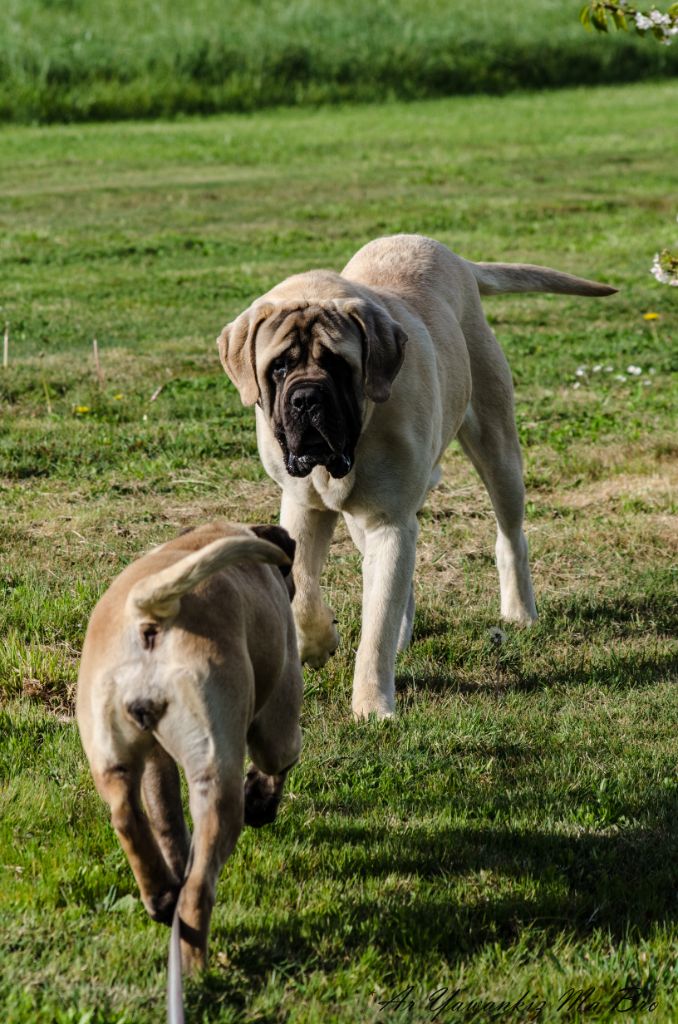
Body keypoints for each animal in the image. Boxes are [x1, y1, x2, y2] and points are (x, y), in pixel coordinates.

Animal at [75, 524, 303, 970]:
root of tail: (149, 616)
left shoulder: (156, 760)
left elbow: (166, 820)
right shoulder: (278, 722)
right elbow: (276, 766)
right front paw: (261, 802)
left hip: (113, 756)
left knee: (129, 817)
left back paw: (163, 895)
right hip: (217, 777)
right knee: (199, 889)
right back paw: (196, 965)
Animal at [216, 235, 614, 724]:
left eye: (338, 365)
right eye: (279, 367)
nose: (307, 398)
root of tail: (458, 259)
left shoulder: (389, 521)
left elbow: (376, 628)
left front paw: (372, 705)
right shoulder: (305, 505)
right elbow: (305, 590)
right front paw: (318, 644)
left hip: (498, 450)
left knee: (510, 535)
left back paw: (519, 610)